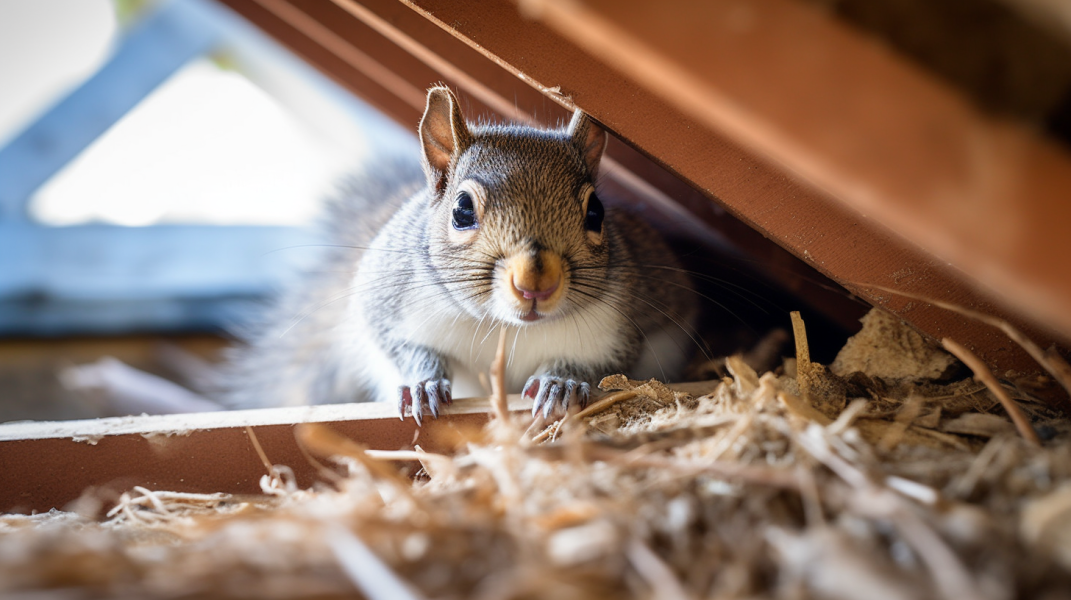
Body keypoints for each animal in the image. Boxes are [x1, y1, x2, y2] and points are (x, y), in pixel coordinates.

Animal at [221, 85, 698, 422]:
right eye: (462, 210)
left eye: (596, 212)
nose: (535, 284)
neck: (505, 328)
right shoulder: (386, 298)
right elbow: (400, 343)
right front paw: (423, 383)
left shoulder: (618, 326)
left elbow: (604, 362)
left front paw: (561, 382)